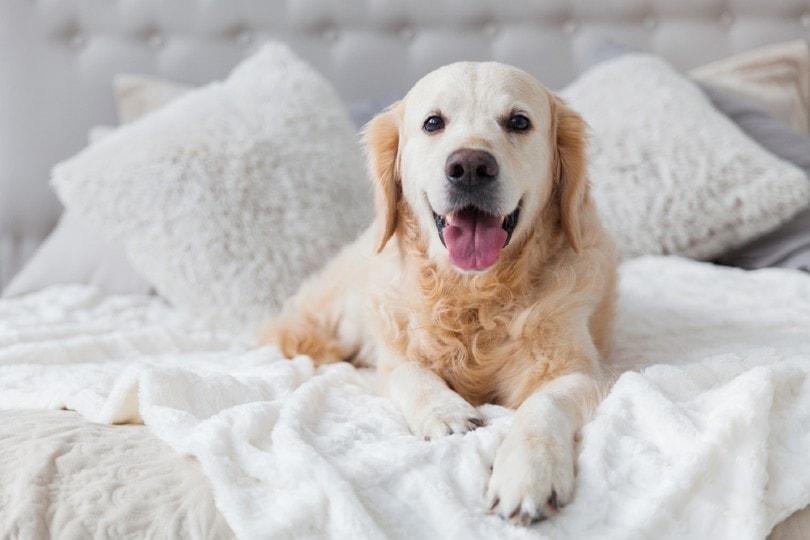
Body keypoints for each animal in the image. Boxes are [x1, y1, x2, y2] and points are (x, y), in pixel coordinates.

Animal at [262, 61, 616, 524]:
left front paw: (528, 474)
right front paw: (445, 413)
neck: (473, 295)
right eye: (433, 123)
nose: (470, 166)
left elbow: (544, 406)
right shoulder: (392, 359)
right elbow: (410, 373)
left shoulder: (580, 371)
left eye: (519, 122)